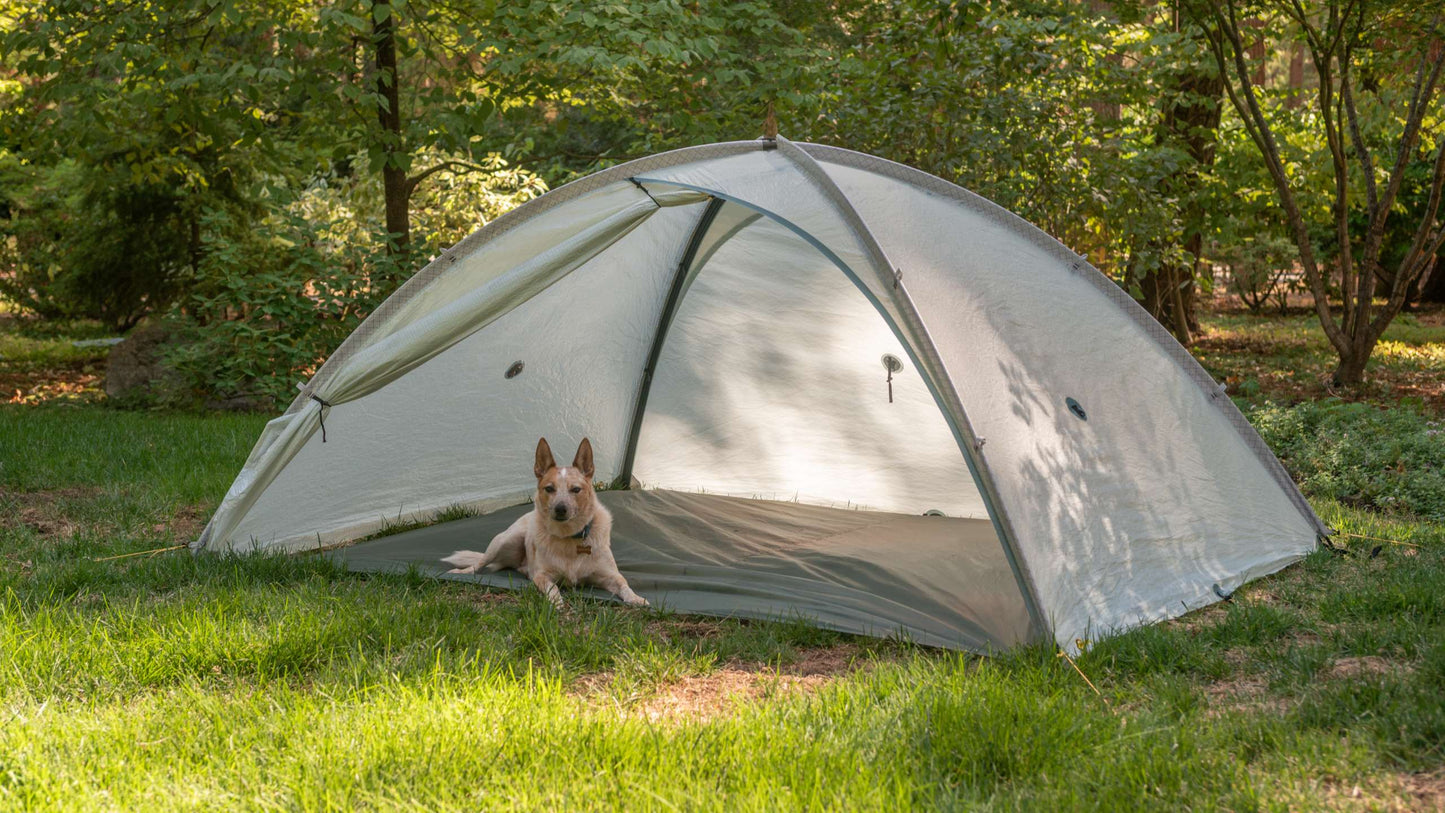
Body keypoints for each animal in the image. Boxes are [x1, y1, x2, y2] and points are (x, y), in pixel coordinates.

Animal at [436, 438, 647, 612]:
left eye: (575, 489)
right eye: (549, 488)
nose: (560, 509)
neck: (569, 537)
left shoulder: (610, 576)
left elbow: (624, 585)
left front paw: (637, 598)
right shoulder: (542, 575)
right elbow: (552, 587)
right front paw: (557, 602)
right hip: (506, 539)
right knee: (480, 563)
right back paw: (462, 572)